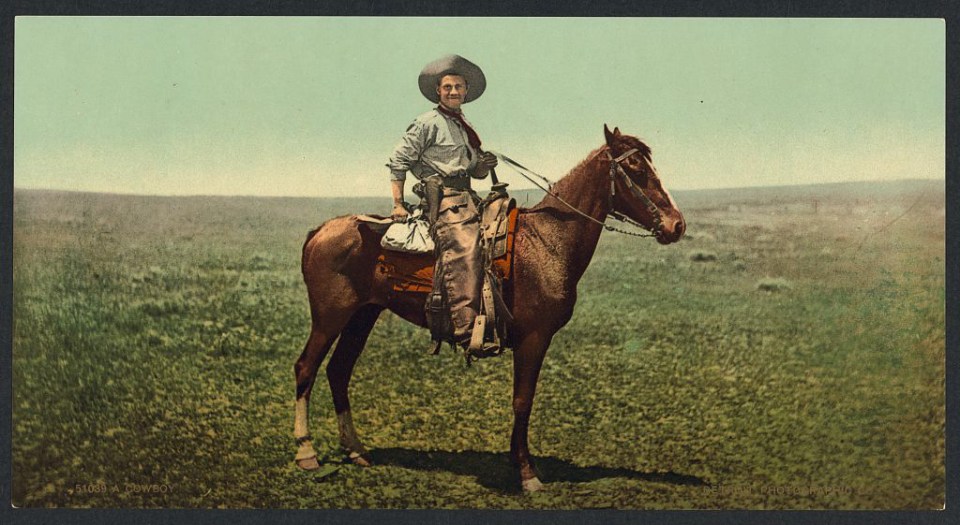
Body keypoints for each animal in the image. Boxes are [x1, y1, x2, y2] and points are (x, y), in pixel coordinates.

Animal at [290, 126, 684, 492]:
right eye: (636, 169)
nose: (676, 225)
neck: (547, 242)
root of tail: (320, 231)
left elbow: (523, 400)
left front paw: (517, 463)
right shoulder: (533, 337)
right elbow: (523, 400)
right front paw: (526, 474)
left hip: (363, 315)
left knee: (339, 370)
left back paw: (356, 450)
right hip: (329, 317)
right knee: (306, 367)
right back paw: (307, 453)